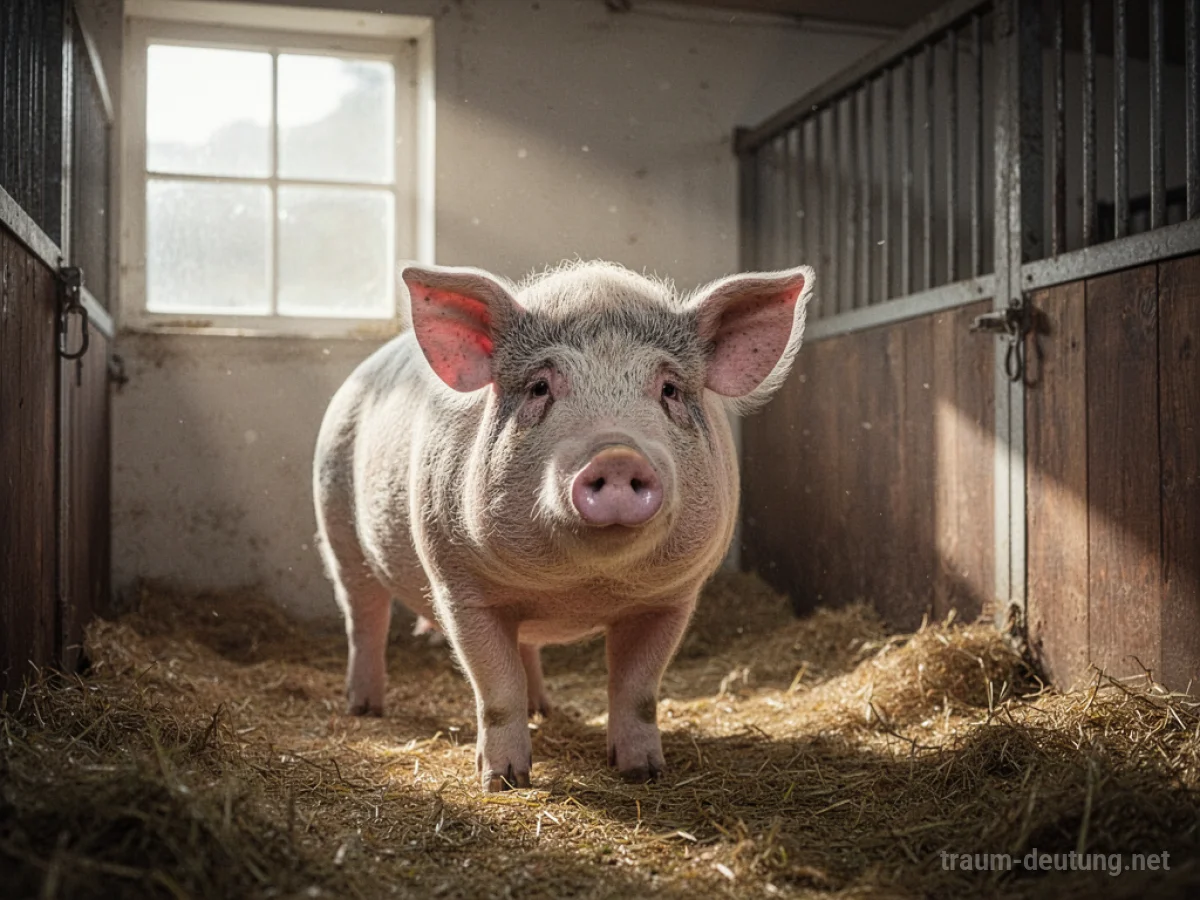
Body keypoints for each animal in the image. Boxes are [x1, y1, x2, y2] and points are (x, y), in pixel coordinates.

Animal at [313, 260, 813, 792]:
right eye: (540, 387)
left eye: (669, 389)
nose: (617, 455)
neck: (579, 588)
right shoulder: (458, 587)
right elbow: (496, 688)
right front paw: (503, 782)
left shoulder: (672, 598)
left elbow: (637, 689)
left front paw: (644, 772)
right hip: (337, 527)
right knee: (364, 616)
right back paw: (365, 708)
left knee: (524, 648)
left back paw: (544, 709)